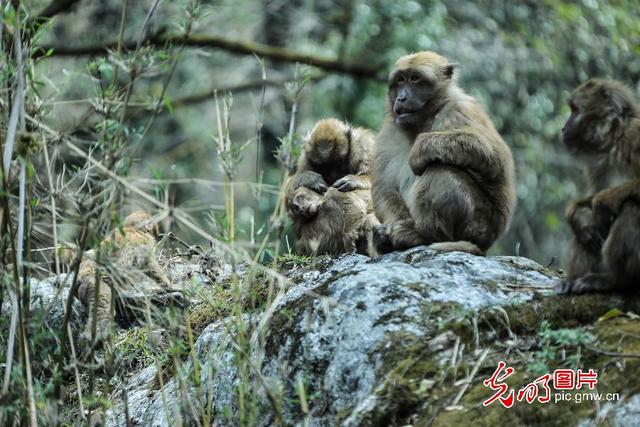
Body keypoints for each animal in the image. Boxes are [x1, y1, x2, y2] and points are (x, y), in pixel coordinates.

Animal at [75, 212, 172, 342]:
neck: (132, 228)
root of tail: (79, 279)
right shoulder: (144, 243)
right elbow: (150, 265)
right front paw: (166, 283)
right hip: (93, 284)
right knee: (103, 309)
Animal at [372, 52, 516, 256]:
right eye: (400, 80)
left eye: (414, 79)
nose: (401, 98)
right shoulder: (389, 133)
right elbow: (384, 188)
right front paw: (394, 229)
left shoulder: (459, 110)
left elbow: (497, 158)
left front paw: (419, 149)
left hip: (479, 224)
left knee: (439, 172)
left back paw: (424, 237)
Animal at [556, 78, 640, 294]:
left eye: (575, 110)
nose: (563, 128)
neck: (615, 139)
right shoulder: (597, 163)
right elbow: (590, 198)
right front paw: (579, 216)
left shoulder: (636, 136)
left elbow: (602, 201)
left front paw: (604, 201)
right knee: (587, 234)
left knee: (631, 208)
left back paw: (615, 281)